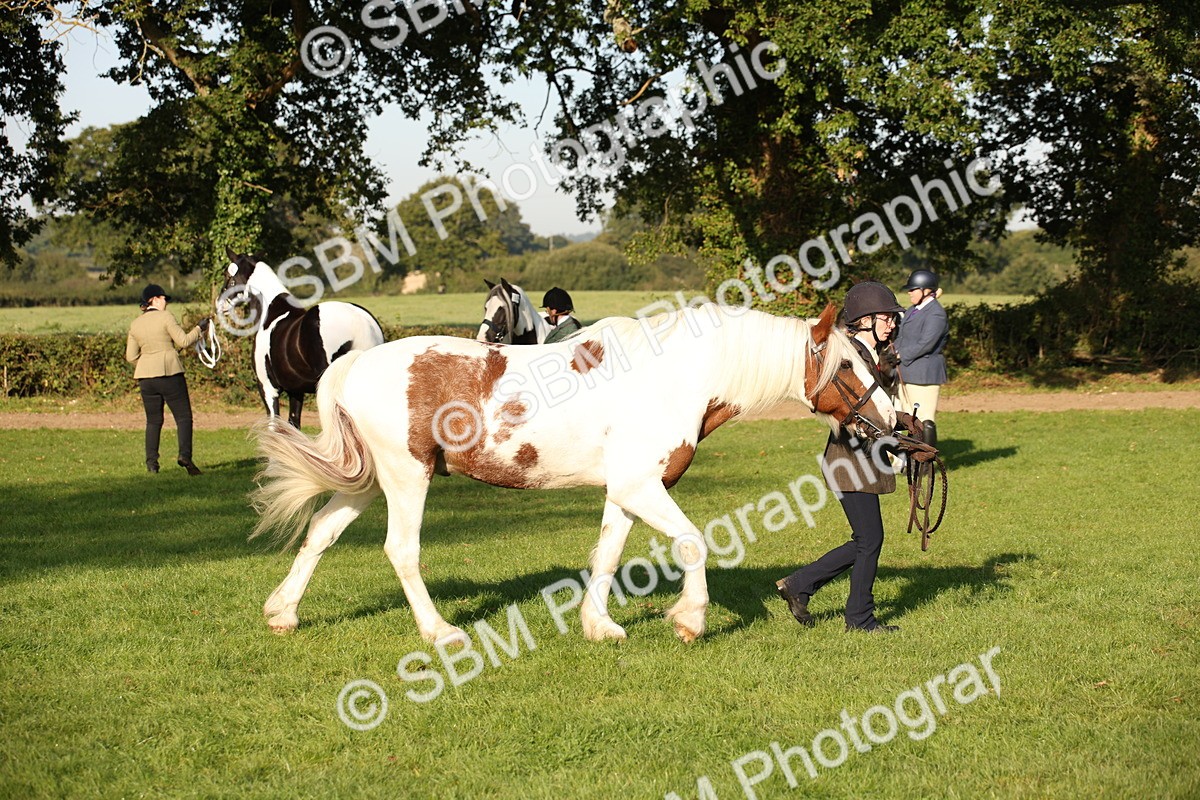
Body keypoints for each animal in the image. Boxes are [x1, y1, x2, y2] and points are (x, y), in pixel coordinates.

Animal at [220, 246, 385, 428]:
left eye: (227, 275)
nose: (220, 304)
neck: (270, 313)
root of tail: (360, 324)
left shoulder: (267, 387)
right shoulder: (295, 390)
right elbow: (293, 424)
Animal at [251, 301, 896, 644]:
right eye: (847, 367)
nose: (892, 422)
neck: (677, 375)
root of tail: (356, 364)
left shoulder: (627, 490)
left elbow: (607, 553)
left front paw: (599, 625)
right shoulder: (642, 487)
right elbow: (693, 543)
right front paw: (689, 620)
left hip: (368, 481)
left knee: (321, 533)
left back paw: (283, 613)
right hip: (407, 478)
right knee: (401, 550)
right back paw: (440, 632)